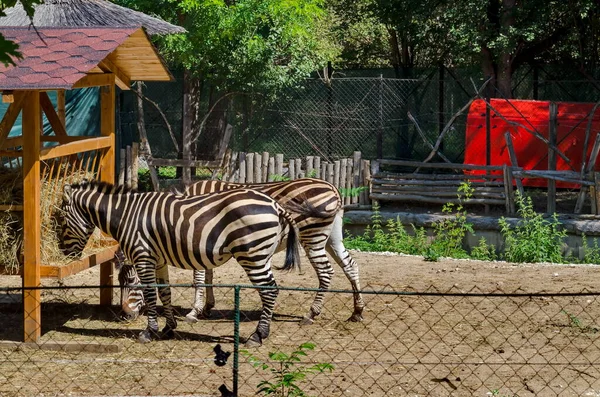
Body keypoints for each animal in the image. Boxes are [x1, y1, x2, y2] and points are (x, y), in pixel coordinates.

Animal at [58, 181, 308, 344]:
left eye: (60, 220)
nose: (125, 317)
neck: (127, 215)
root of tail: (275, 204)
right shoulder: (159, 259)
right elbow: (164, 291)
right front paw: (169, 327)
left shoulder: (144, 256)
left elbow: (151, 293)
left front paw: (149, 332)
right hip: (260, 255)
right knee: (270, 290)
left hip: (253, 255)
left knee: (269, 290)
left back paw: (258, 335)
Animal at [116, 178, 364, 324]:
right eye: (118, 282)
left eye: (133, 281)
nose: (125, 315)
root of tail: (332, 187)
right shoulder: (204, 243)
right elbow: (208, 275)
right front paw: (207, 308)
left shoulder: (194, 238)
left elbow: (198, 279)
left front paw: (194, 312)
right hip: (332, 236)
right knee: (350, 266)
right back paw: (357, 312)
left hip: (312, 236)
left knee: (326, 272)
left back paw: (311, 314)